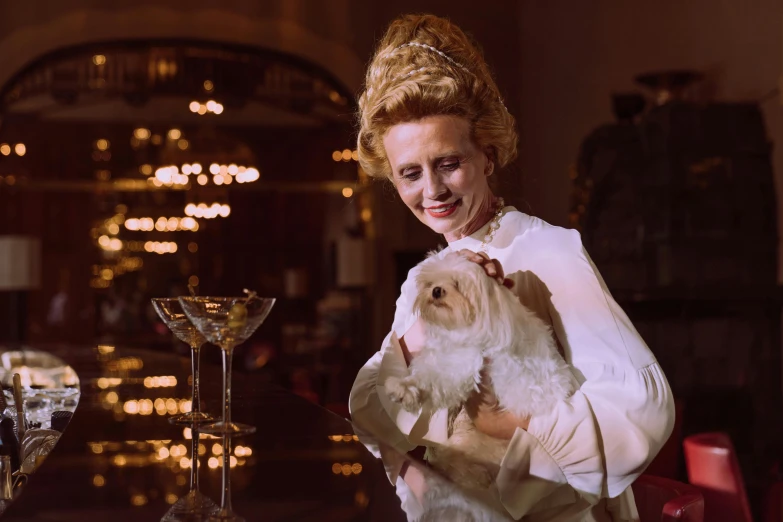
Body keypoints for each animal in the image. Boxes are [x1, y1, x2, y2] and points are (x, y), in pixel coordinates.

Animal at [386, 252, 576, 488]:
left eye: (457, 284)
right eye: (430, 283)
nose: (436, 290)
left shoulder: (465, 363)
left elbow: (438, 379)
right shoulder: (444, 355)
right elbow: (425, 374)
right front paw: (404, 387)